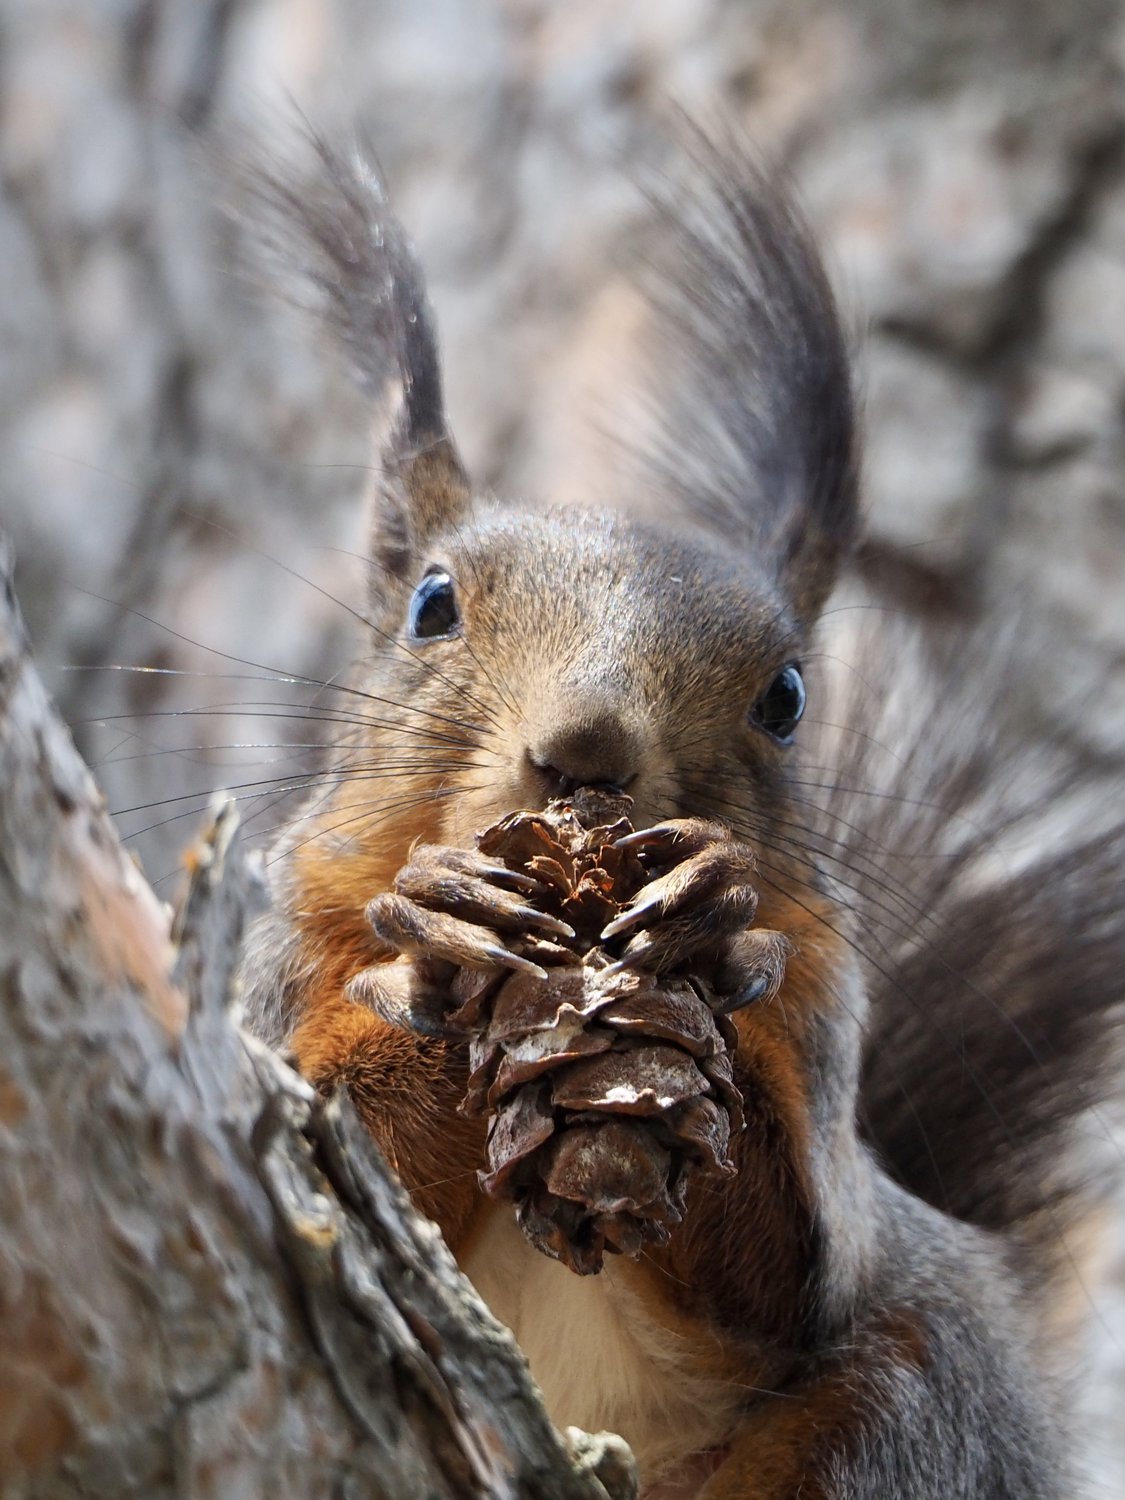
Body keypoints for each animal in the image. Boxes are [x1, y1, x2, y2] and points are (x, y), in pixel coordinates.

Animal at [244, 135, 1125, 1494]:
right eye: (433, 605)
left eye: (788, 695)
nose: (589, 751)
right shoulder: (289, 957)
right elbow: (329, 1144)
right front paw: (444, 941)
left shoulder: (825, 1007)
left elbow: (792, 1270)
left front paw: (704, 924)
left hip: (910, 1401)